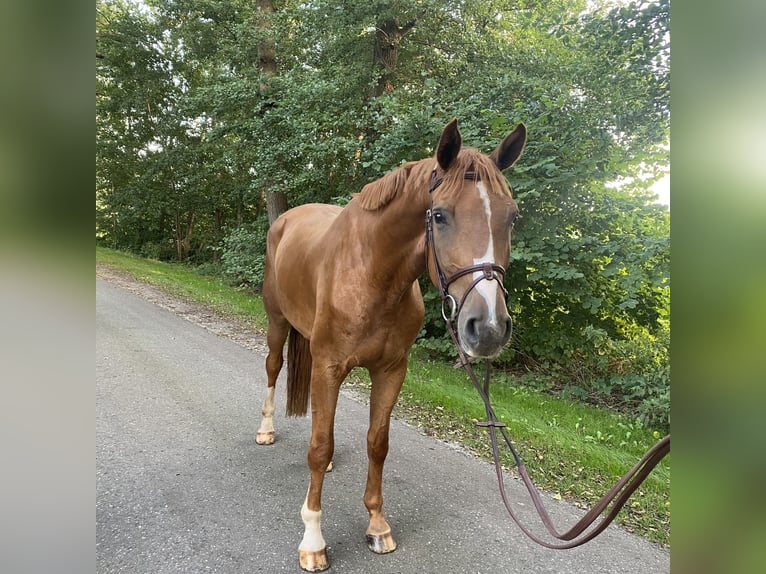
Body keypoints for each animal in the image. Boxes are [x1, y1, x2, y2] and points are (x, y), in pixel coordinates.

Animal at [258, 119, 528, 572]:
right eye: (439, 215)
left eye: (511, 217)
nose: (489, 327)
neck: (372, 274)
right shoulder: (330, 365)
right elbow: (318, 446)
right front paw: (313, 539)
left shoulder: (391, 370)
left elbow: (376, 443)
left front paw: (377, 525)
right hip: (278, 326)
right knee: (273, 369)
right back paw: (265, 430)